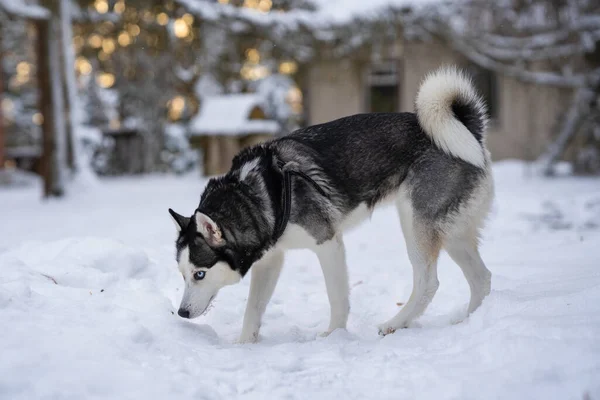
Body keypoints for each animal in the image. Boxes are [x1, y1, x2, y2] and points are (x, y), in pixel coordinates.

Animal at [168, 66, 492, 344]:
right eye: (182, 274)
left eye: (199, 274)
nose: (181, 313)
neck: (255, 195)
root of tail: (469, 130)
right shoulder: (271, 260)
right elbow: (253, 309)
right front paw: (244, 344)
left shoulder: (327, 243)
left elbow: (337, 297)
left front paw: (334, 334)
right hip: (451, 233)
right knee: (482, 278)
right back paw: (470, 321)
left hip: (416, 224)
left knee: (428, 282)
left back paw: (396, 323)